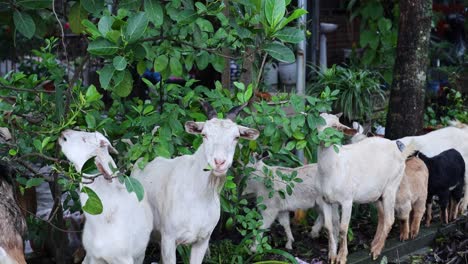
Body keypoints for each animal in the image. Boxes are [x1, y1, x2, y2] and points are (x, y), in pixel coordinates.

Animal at [132, 102, 260, 264]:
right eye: (204, 135)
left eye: (236, 137)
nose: (219, 162)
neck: (199, 195)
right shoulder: (169, 238)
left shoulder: (203, 239)